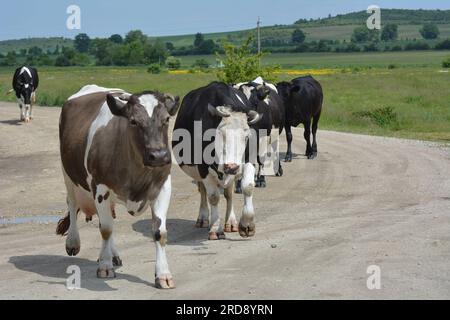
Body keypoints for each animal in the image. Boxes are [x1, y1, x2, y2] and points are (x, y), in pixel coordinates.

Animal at [57, 85, 180, 290]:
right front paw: (105, 267)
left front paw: (163, 274)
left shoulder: (163, 187)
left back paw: (113, 254)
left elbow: (159, 232)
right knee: (73, 204)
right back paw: (74, 242)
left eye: (166, 119)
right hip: (69, 176)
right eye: (133, 121)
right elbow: (106, 229)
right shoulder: (100, 188)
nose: (158, 155)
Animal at [172, 82, 264, 238]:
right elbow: (214, 196)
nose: (232, 167)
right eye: (220, 133)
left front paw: (247, 224)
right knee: (203, 191)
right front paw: (215, 228)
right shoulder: (202, 167)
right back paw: (203, 218)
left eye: (246, 136)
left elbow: (247, 187)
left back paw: (231, 222)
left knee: (229, 194)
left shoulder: (249, 159)